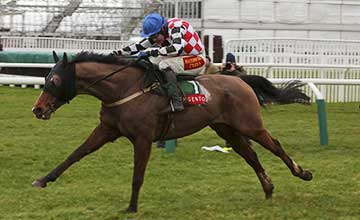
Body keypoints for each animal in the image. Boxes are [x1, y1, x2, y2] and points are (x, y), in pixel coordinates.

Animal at [31, 51, 312, 213]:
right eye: (45, 78)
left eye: (55, 80)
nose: (38, 109)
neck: (123, 89)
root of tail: (240, 80)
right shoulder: (106, 130)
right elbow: (75, 154)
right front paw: (43, 180)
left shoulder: (143, 138)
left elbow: (137, 175)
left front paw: (131, 207)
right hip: (226, 129)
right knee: (250, 156)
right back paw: (268, 189)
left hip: (249, 124)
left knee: (275, 145)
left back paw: (302, 173)